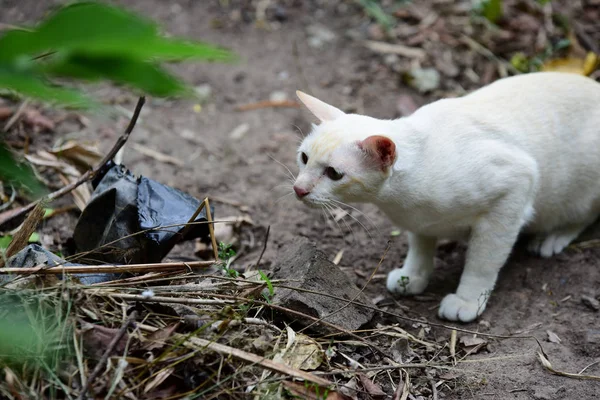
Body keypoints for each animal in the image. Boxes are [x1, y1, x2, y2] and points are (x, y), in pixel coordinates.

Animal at [292, 72, 600, 322]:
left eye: (334, 173)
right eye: (304, 158)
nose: (299, 189)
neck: (402, 200)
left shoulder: (515, 186)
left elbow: (482, 261)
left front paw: (467, 300)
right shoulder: (419, 223)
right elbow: (420, 246)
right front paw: (412, 276)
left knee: (584, 216)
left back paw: (553, 237)